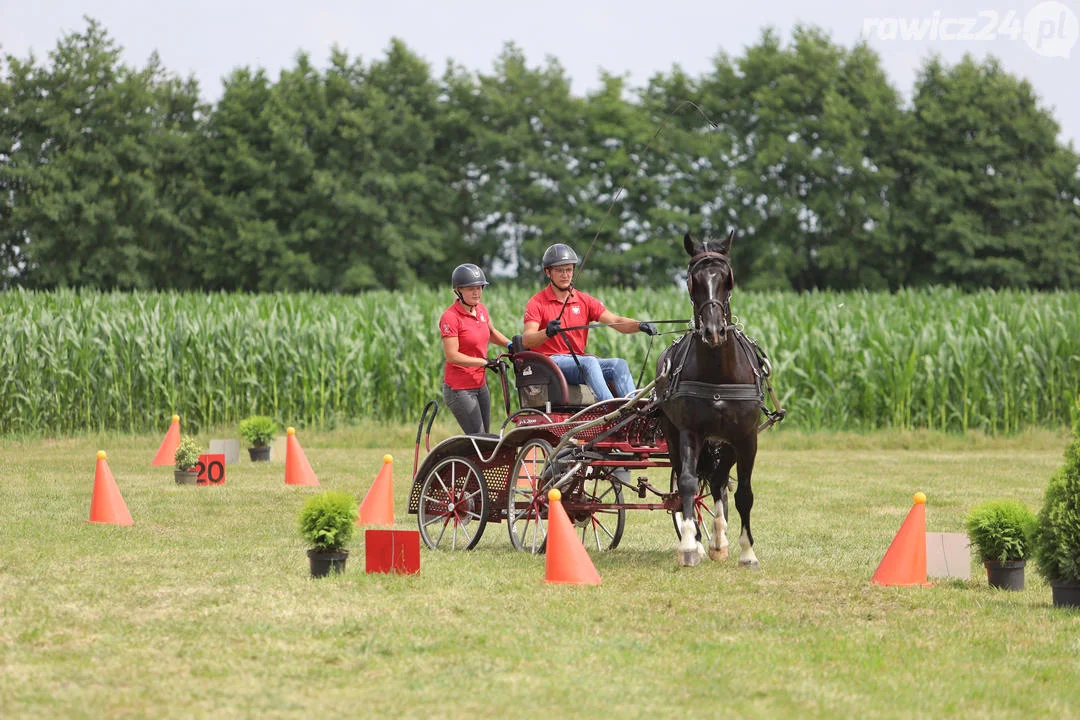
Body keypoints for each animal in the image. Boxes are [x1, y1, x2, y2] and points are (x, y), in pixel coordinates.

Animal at [652, 231, 764, 569]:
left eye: (728, 278)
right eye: (693, 280)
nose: (714, 331)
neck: (719, 373)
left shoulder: (746, 437)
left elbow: (743, 493)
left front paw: (747, 552)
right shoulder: (690, 432)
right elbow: (688, 483)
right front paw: (690, 545)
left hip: (724, 443)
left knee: (716, 482)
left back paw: (719, 541)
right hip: (674, 435)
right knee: (689, 483)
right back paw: (702, 542)